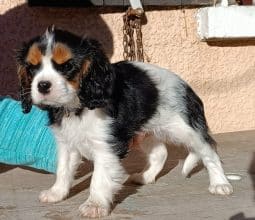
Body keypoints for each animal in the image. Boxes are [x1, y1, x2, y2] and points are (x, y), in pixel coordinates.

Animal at [15, 26, 232, 217]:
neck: (77, 106)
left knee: (209, 151)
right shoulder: (67, 144)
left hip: (186, 128)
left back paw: (220, 184)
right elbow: (63, 170)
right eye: (32, 68)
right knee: (161, 153)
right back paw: (145, 177)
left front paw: (94, 205)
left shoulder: (106, 147)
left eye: (67, 66)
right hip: (144, 132)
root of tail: (187, 86)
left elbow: (99, 179)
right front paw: (57, 193)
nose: (43, 85)